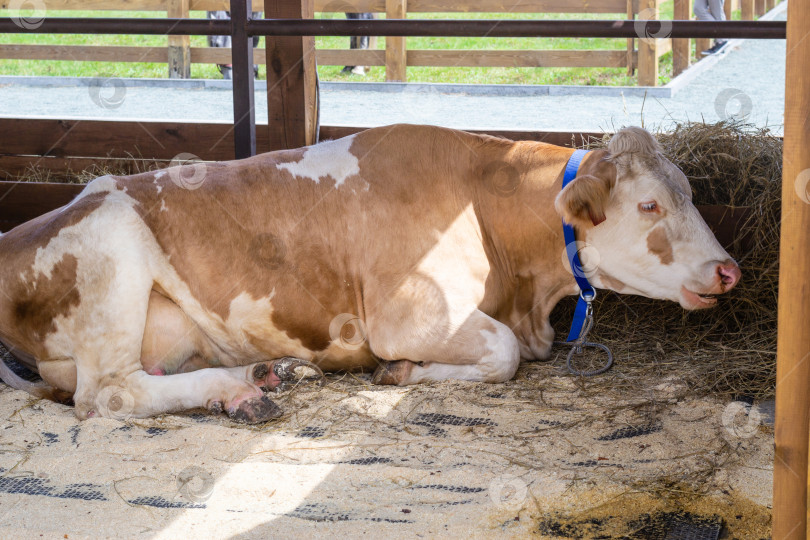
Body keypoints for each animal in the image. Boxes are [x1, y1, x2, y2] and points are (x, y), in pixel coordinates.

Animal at [0, 124, 736, 424]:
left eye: (689, 191)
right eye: (649, 204)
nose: (727, 270)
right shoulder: (406, 313)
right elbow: (500, 353)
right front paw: (402, 373)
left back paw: (262, 376)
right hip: (111, 248)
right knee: (107, 396)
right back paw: (243, 386)